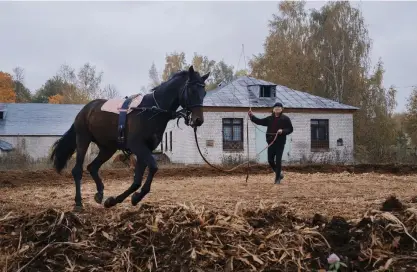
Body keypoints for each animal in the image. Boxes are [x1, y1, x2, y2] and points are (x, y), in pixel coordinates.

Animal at [50, 65, 210, 210]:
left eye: (204, 92)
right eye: (192, 90)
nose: (198, 120)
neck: (151, 110)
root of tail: (85, 109)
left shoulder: (145, 149)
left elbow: (138, 180)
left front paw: (118, 200)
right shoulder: (138, 146)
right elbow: (153, 167)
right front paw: (131, 198)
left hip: (108, 148)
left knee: (92, 167)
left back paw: (100, 194)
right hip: (83, 139)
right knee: (77, 170)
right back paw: (78, 203)